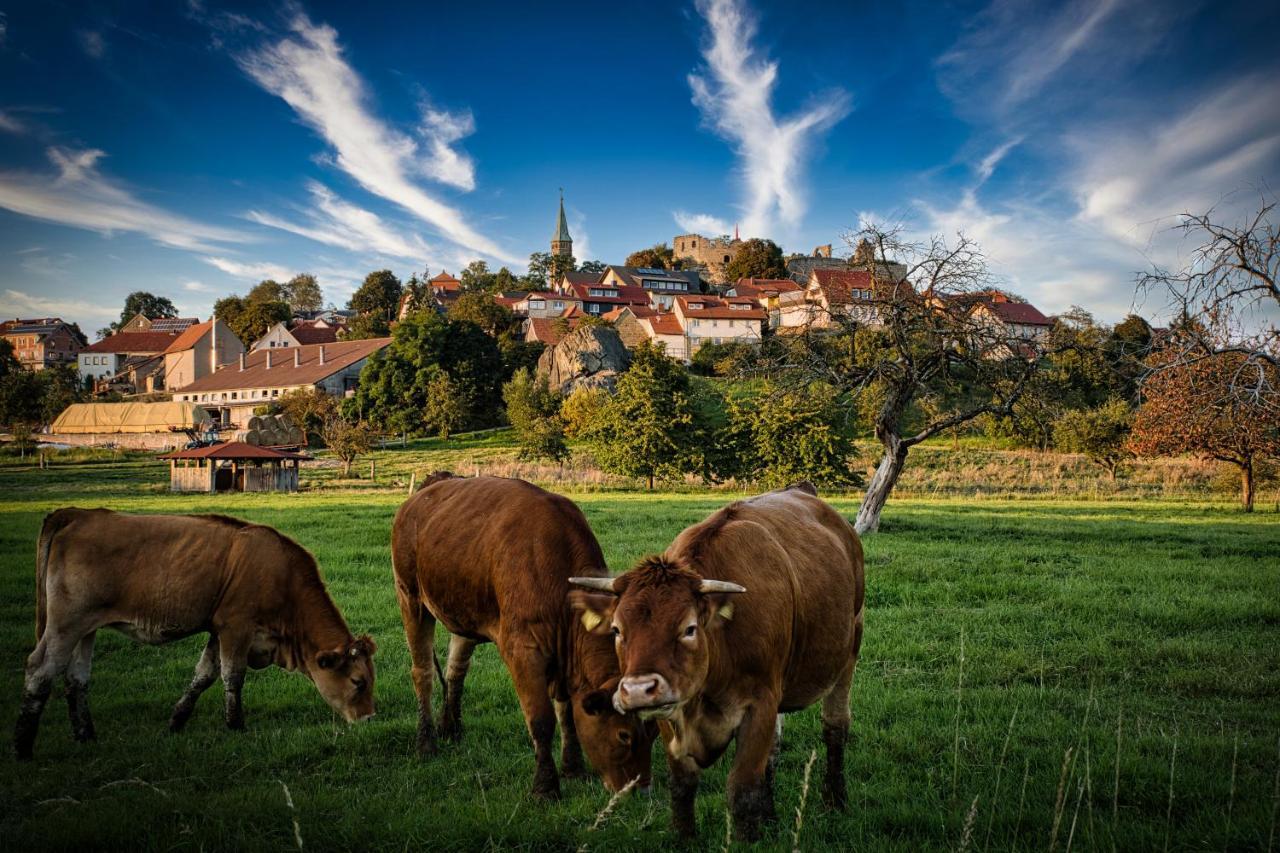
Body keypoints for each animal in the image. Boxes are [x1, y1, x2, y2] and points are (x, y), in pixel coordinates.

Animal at [15, 504, 373, 758]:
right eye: (358, 681)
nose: (369, 718)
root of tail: (76, 514)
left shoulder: (218, 631)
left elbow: (203, 676)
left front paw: (176, 722)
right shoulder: (236, 628)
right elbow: (232, 677)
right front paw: (236, 725)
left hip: (85, 629)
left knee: (76, 679)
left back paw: (86, 735)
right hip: (65, 624)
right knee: (40, 669)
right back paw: (23, 748)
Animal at [389, 473, 655, 794]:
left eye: (655, 732)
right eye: (623, 735)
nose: (641, 789)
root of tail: (431, 486)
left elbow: (566, 712)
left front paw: (573, 768)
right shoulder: (522, 649)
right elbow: (541, 719)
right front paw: (546, 787)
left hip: (463, 606)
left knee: (456, 670)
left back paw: (451, 728)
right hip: (410, 596)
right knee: (423, 672)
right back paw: (426, 743)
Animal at [573, 479, 865, 835]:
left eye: (689, 628)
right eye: (616, 629)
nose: (639, 690)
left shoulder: (759, 703)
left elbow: (742, 789)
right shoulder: (673, 710)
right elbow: (682, 786)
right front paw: (686, 837)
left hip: (850, 647)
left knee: (835, 726)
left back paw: (835, 799)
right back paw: (770, 815)